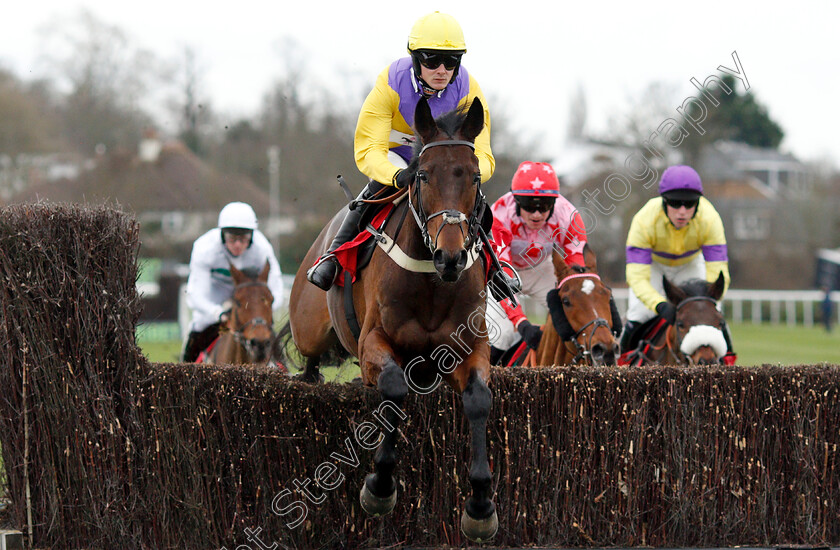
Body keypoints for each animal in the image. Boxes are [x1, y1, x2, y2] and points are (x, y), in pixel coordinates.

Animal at [288, 98, 498, 544]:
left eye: (474, 176)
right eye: (423, 174)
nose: (450, 257)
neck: (433, 280)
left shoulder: (470, 347)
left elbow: (478, 400)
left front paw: (480, 505)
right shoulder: (375, 341)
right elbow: (394, 390)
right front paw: (380, 487)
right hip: (309, 328)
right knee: (311, 361)